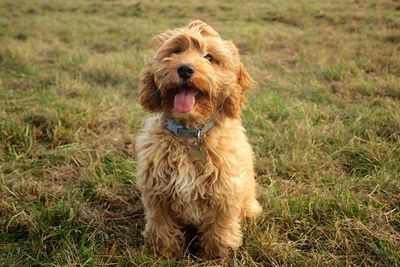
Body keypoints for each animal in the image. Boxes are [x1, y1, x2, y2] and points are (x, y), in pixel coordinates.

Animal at [136, 19, 264, 258]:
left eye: (209, 58)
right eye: (176, 51)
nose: (185, 69)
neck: (191, 134)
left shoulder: (225, 190)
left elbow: (219, 227)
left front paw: (218, 254)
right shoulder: (157, 192)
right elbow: (161, 224)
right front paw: (163, 252)